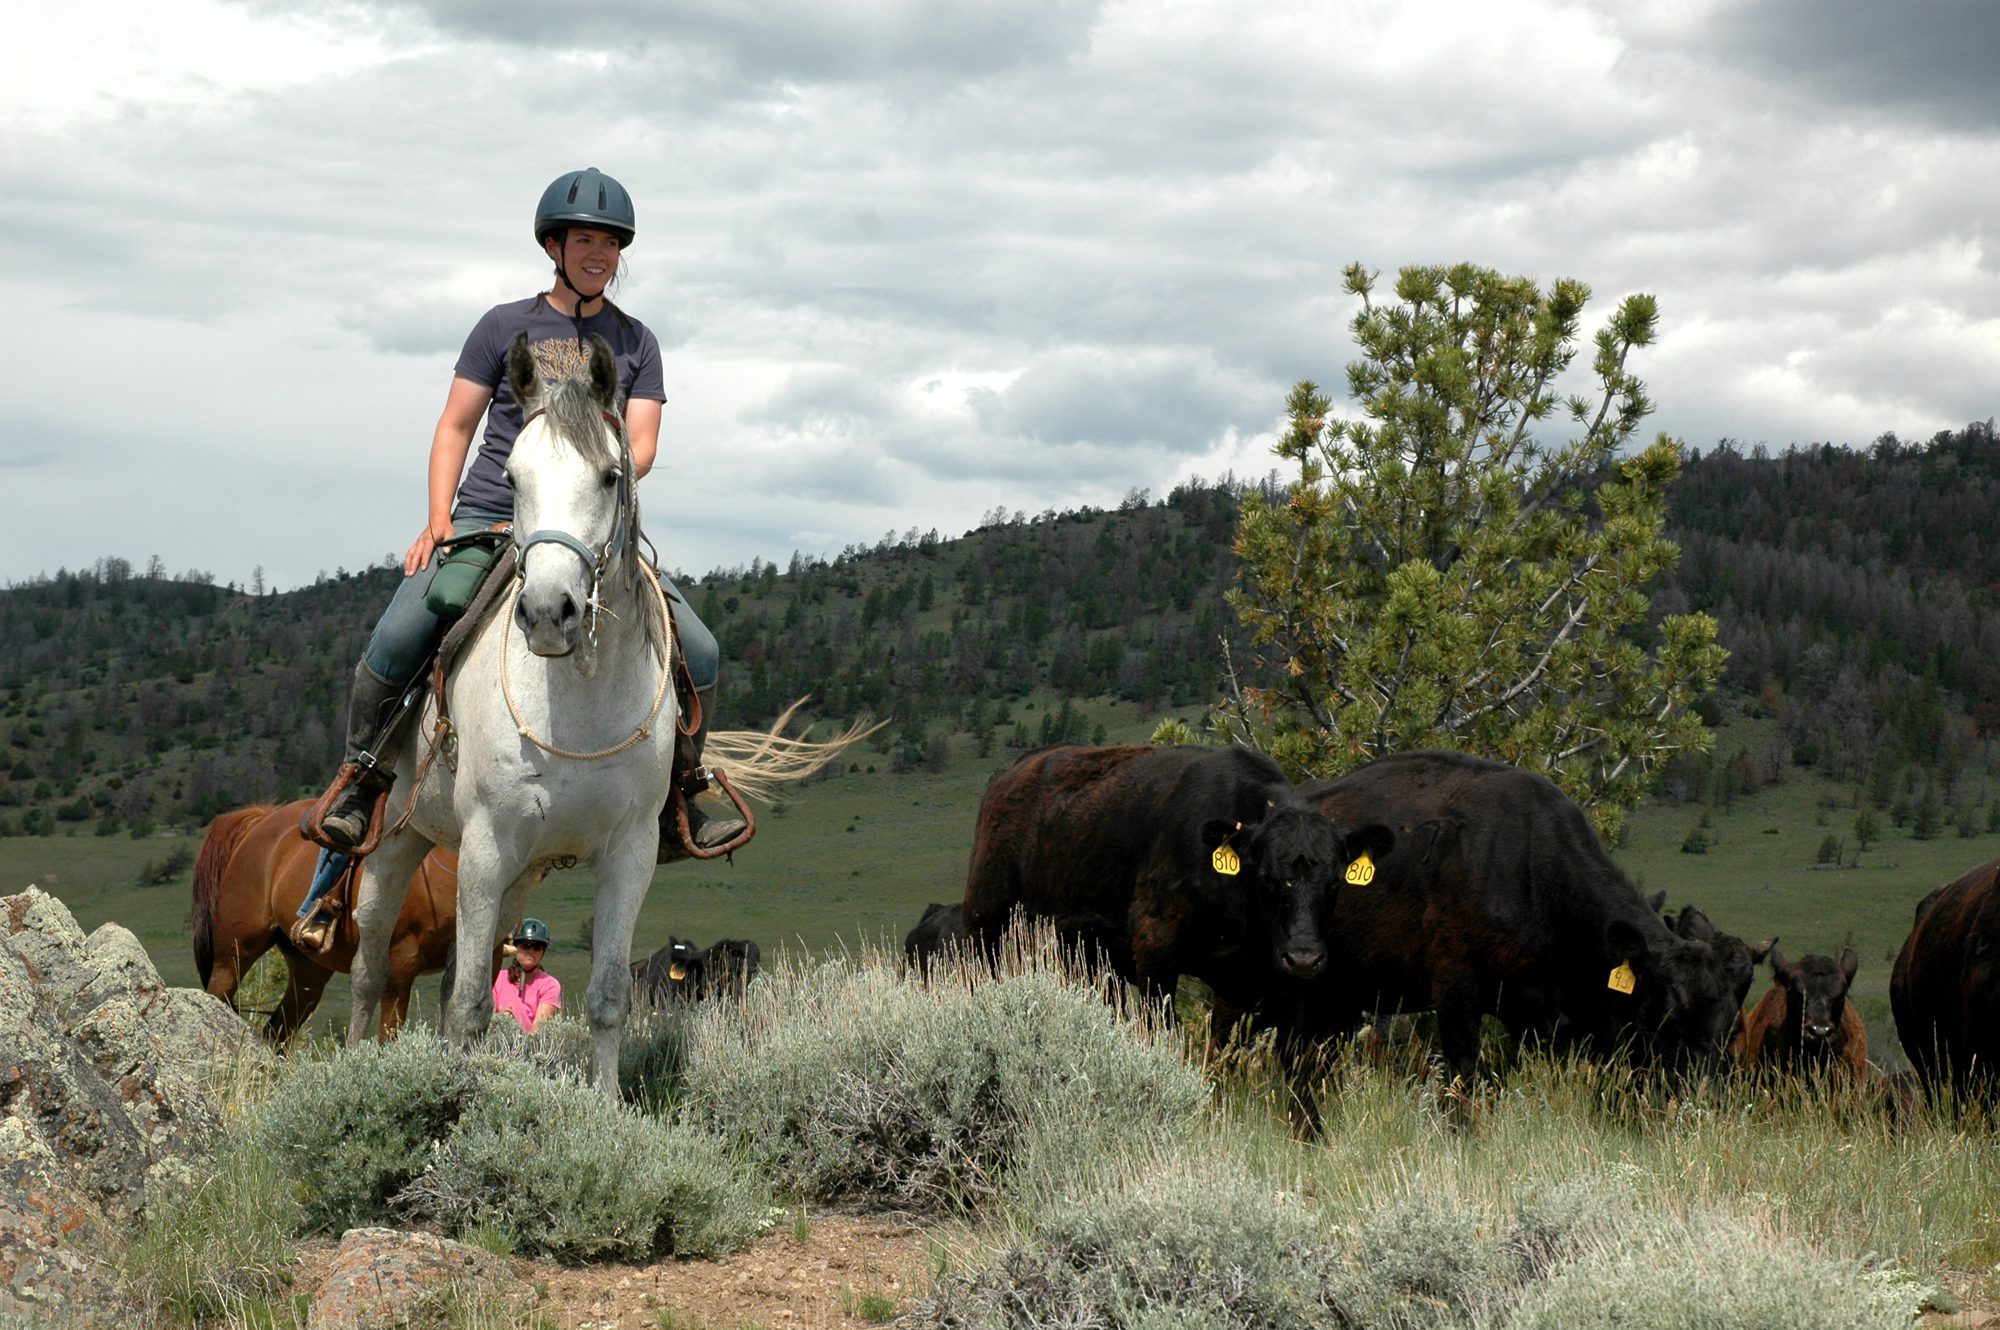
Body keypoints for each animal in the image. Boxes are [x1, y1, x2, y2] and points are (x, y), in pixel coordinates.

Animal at [960, 744, 1396, 1013]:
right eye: (1266, 876)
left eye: (1335, 881)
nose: (1303, 956)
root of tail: (1010, 776)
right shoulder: (1156, 952)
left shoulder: (1277, 981)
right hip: (986, 931)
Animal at [1271, 750, 1743, 1084]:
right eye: (1669, 1013)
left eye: (1728, 1019)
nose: (1698, 1090)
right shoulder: (1456, 990)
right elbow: (1463, 1074)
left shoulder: (1536, 1015)